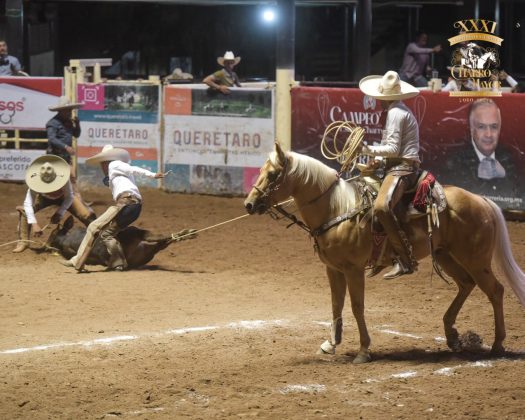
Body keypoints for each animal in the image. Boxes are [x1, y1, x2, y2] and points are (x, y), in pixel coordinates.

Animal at [245, 144, 524, 364]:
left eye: (272, 174)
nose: (248, 204)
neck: (336, 209)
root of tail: (481, 200)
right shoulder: (333, 268)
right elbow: (336, 303)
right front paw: (330, 344)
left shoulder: (353, 269)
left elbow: (357, 306)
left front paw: (363, 350)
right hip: (447, 255)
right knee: (466, 284)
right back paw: (452, 336)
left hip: (476, 259)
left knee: (495, 290)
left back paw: (497, 345)